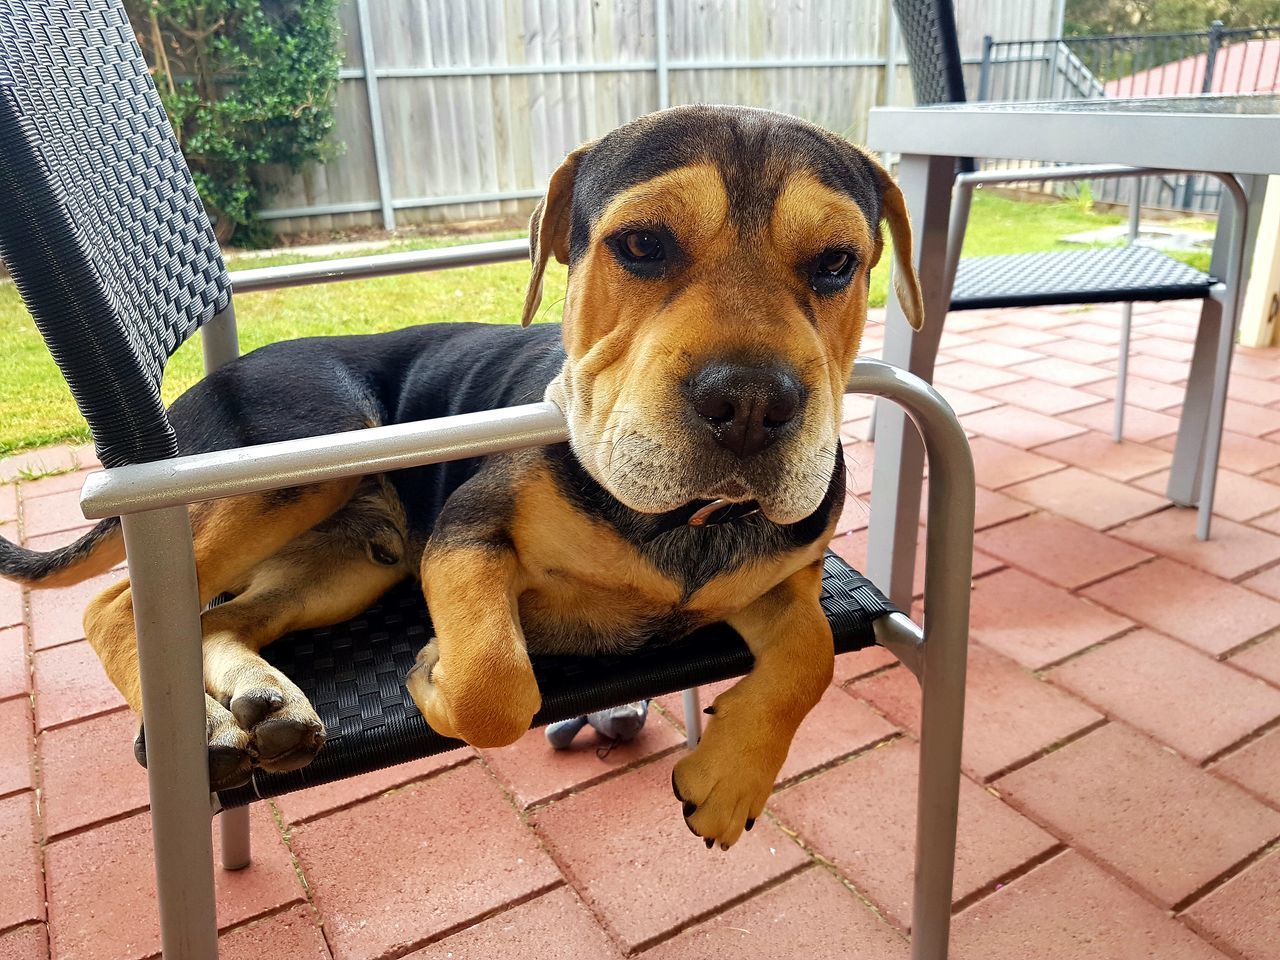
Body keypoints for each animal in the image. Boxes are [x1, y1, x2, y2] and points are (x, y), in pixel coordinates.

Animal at [0, 104, 926, 855]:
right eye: (642, 245)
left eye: (838, 262)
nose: (751, 404)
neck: (684, 522)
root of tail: (194, 392)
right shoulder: (468, 534)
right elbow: (496, 684)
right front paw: (433, 678)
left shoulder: (790, 581)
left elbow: (811, 655)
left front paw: (731, 778)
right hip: (299, 455)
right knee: (114, 606)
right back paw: (202, 729)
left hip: (346, 564)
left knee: (221, 617)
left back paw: (266, 702)